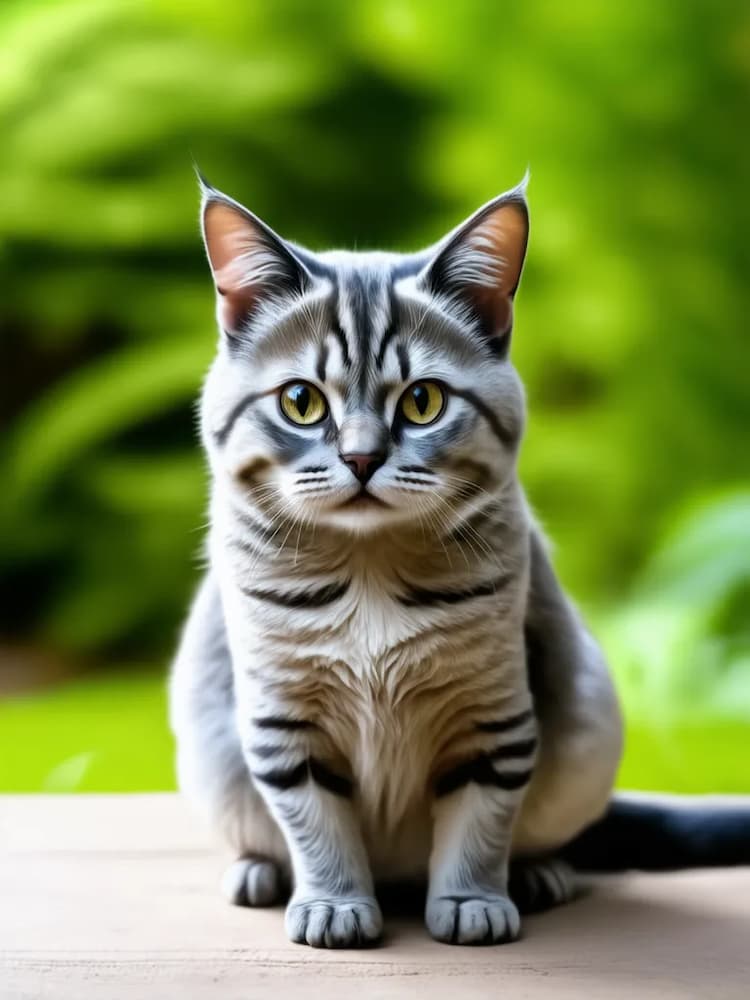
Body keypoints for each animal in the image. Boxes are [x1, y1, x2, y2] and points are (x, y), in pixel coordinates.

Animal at [170, 176, 750, 948]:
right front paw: (334, 903)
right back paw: (257, 874)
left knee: (551, 837)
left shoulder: (494, 718)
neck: (370, 572)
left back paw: (539, 875)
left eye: (422, 401)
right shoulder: (282, 722)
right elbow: (317, 825)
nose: (361, 458)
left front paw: (473, 900)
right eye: (301, 402)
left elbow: (481, 823)